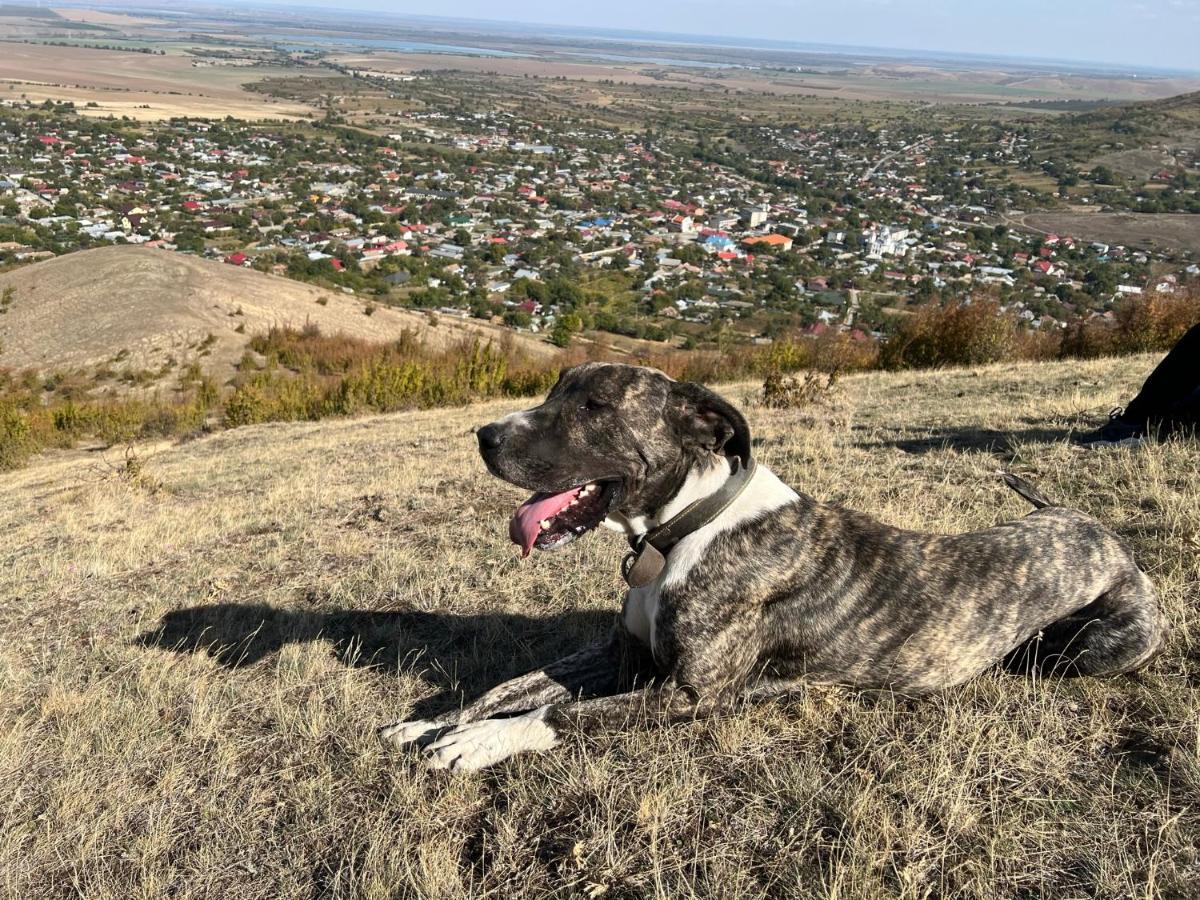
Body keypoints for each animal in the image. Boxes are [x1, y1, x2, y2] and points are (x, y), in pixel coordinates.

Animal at [381, 362, 1161, 772]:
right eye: (553, 390)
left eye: (595, 404)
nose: (484, 436)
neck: (686, 526)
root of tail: (1098, 529)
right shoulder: (619, 656)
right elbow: (513, 685)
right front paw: (431, 724)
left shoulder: (688, 694)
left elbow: (560, 712)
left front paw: (478, 742)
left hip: (1090, 648)